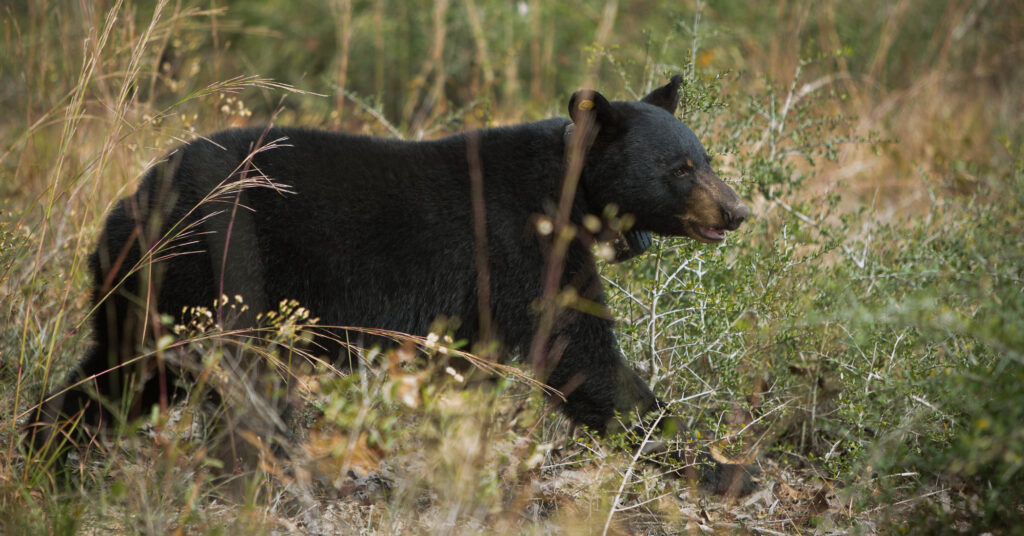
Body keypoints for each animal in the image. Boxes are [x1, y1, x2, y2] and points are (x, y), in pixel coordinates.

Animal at [33, 75, 749, 466]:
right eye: (681, 168)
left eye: (705, 157)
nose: (738, 210)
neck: (565, 193)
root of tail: (128, 204)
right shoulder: (516, 246)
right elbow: (579, 352)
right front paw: (707, 461)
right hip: (212, 280)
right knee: (225, 386)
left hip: (148, 297)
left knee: (118, 375)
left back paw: (50, 455)